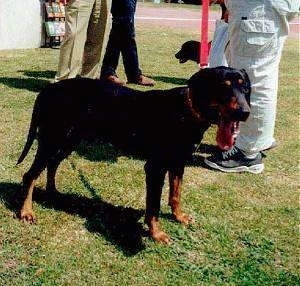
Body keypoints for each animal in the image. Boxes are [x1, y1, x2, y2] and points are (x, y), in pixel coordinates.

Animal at [16, 66, 251, 244]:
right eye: (224, 87)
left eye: (245, 87)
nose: (245, 112)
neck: (186, 110)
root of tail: (47, 89)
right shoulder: (156, 167)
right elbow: (153, 205)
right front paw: (156, 234)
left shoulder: (178, 163)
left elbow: (175, 195)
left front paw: (179, 217)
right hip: (52, 139)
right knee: (30, 175)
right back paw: (26, 212)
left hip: (67, 141)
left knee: (52, 164)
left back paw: (54, 192)